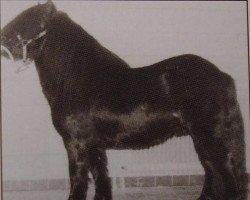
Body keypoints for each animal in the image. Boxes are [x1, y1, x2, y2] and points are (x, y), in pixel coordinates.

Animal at [0, 1, 247, 198]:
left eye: (28, 21)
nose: (1, 38)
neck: (77, 79)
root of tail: (223, 77)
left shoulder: (76, 144)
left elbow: (78, 182)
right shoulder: (95, 146)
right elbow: (101, 180)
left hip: (211, 141)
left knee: (227, 183)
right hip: (203, 142)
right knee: (213, 177)